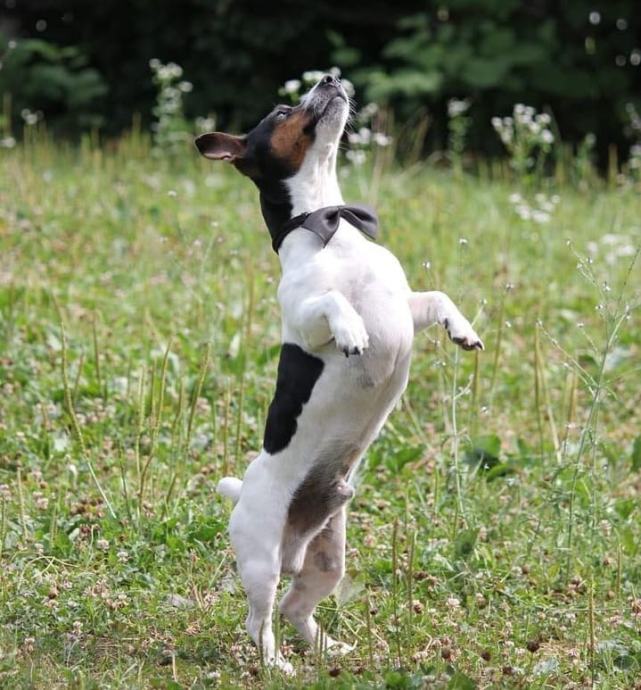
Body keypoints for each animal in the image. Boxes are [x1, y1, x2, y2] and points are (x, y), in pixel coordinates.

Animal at [192, 75, 482, 672]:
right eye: (282, 110)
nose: (330, 78)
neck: (329, 223)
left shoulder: (405, 309)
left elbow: (438, 296)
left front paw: (462, 330)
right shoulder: (305, 321)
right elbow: (331, 302)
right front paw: (352, 333)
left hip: (328, 559)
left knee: (296, 607)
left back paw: (330, 647)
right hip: (261, 560)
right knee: (260, 619)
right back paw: (275, 664)